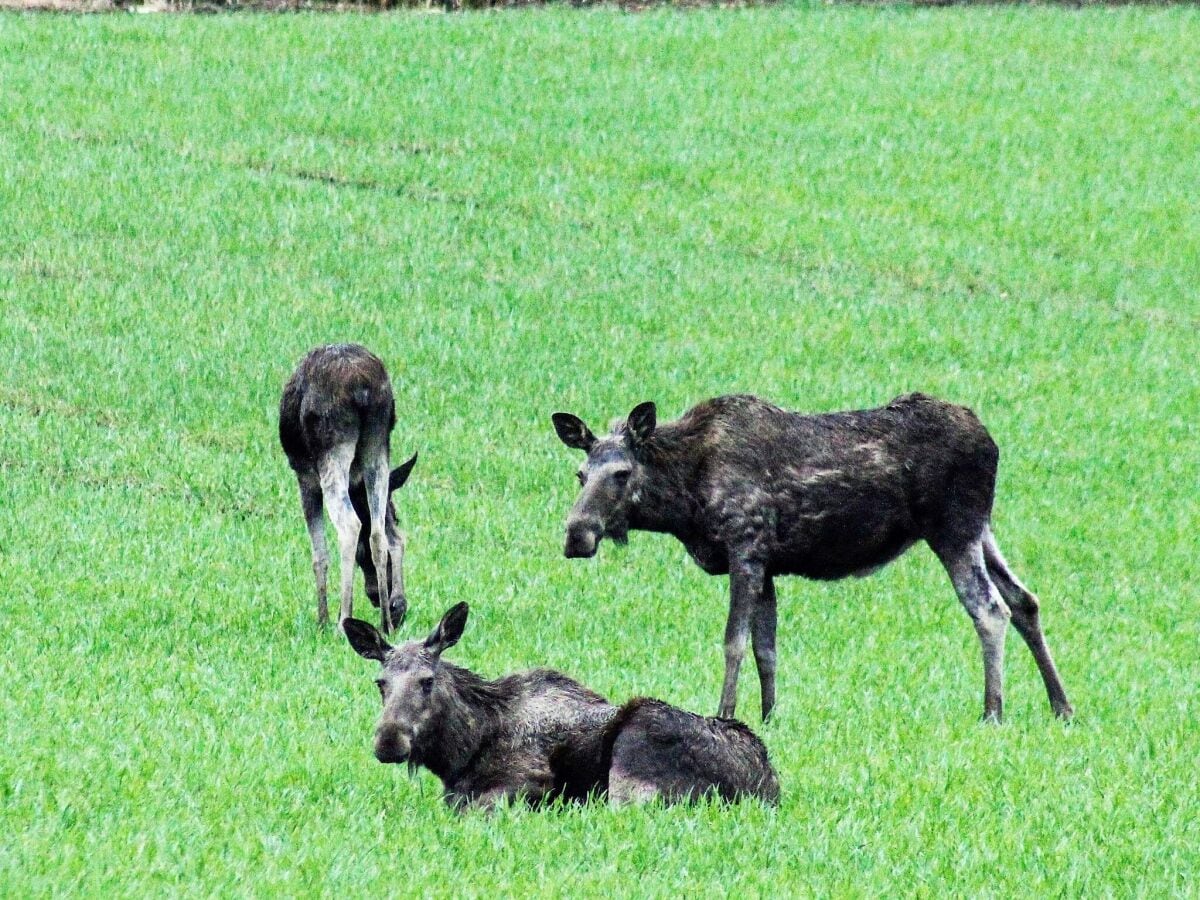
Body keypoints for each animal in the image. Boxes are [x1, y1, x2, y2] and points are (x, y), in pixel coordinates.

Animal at [279, 345, 420, 633]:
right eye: (397, 515)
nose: (395, 607)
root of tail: (362, 389)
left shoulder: (305, 479)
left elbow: (319, 554)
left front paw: (322, 619)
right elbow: (391, 535)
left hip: (332, 451)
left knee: (350, 525)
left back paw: (343, 619)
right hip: (378, 447)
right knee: (380, 534)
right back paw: (385, 622)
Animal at [343, 607, 782, 811]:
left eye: (427, 681)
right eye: (381, 683)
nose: (388, 742)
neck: (463, 749)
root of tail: (768, 785)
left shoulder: (527, 781)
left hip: (635, 746)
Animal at [554, 393, 1080, 724]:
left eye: (621, 473)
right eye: (580, 473)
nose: (577, 536)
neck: (683, 502)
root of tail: (991, 442)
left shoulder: (745, 547)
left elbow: (734, 643)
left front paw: (724, 714)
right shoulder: (767, 566)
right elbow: (767, 649)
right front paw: (769, 716)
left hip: (953, 529)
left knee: (990, 608)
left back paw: (993, 711)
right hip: (981, 528)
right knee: (1026, 599)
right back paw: (1062, 707)